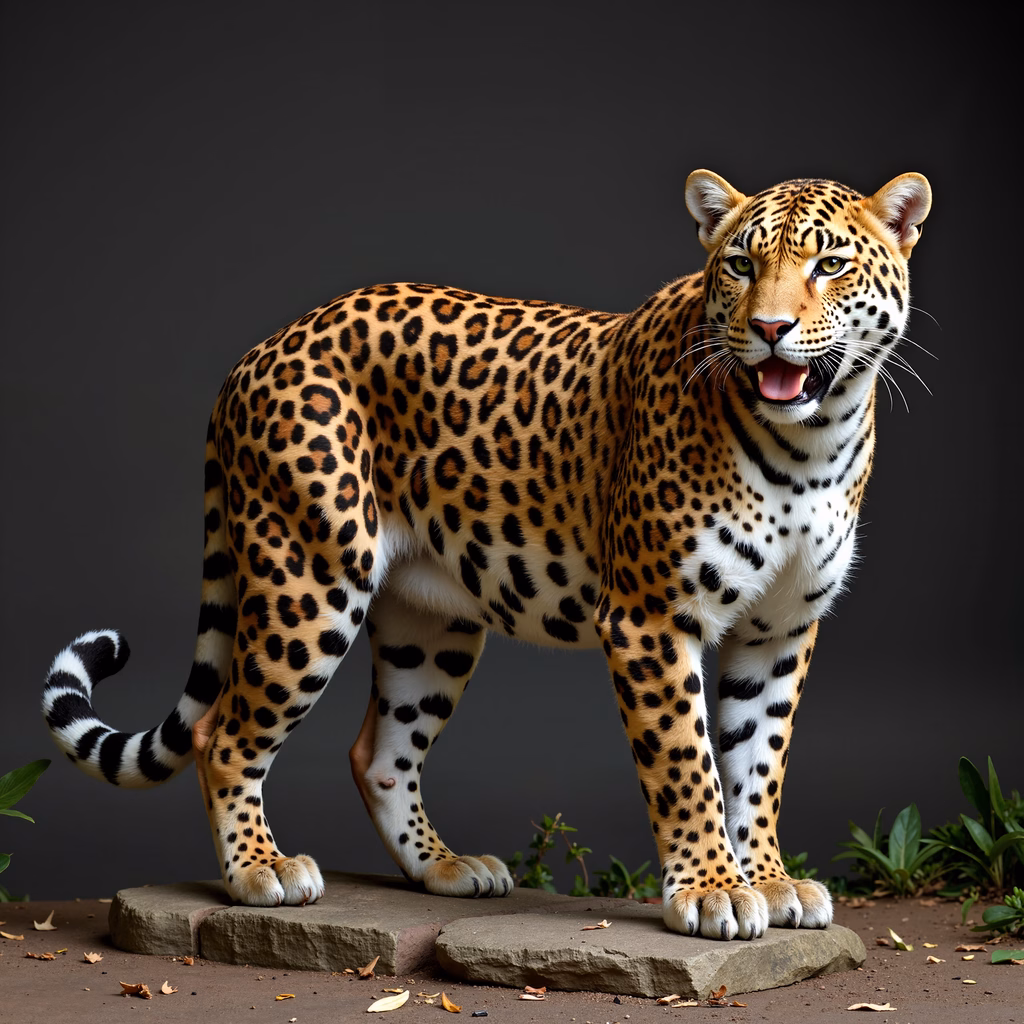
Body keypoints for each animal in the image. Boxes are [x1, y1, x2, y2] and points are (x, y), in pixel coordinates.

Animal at [41, 169, 931, 940]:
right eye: (742, 265)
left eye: (830, 265)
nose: (770, 330)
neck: (812, 444)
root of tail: (261, 348)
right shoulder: (650, 618)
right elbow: (690, 763)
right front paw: (713, 890)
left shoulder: (779, 629)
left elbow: (758, 761)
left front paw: (769, 880)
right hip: (310, 578)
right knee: (222, 734)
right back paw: (261, 872)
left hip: (428, 621)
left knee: (380, 752)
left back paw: (444, 869)